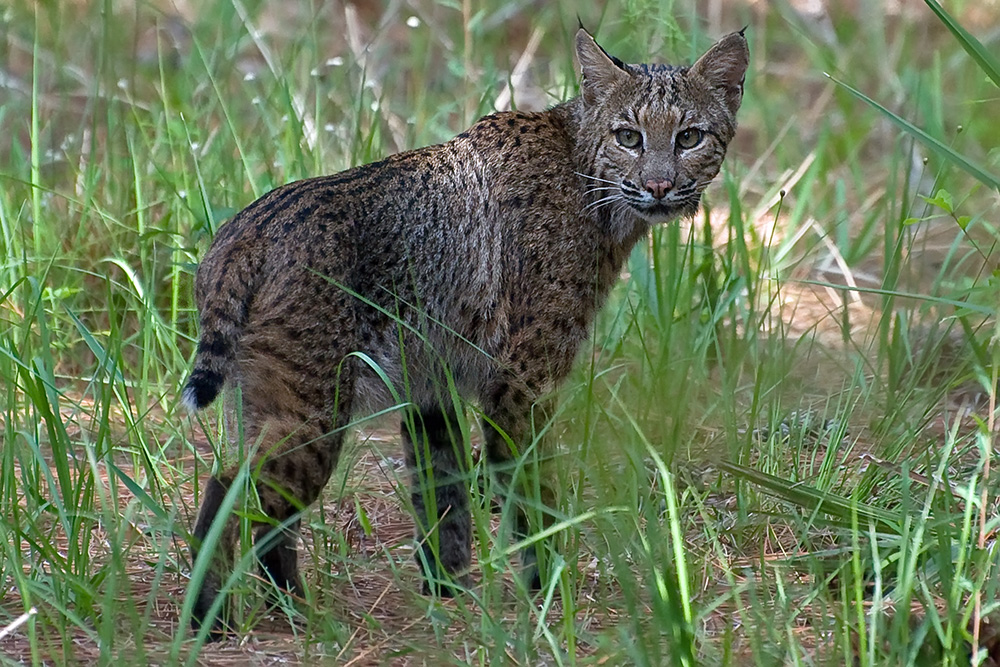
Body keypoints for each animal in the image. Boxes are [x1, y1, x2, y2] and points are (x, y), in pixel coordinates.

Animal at [180, 27, 748, 632]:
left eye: (689, 137)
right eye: (628, 137)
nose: (659, 186)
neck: (588, 177)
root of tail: (245, 229)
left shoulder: (433, 384)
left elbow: (442, 495)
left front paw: (448, 592)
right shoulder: (521, 382)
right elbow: (529, 490)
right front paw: (549, 592)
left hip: (268, 399)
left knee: (255, 501)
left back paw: (290, 613)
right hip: (314, 406)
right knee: (230, 487)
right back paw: (212, 621)